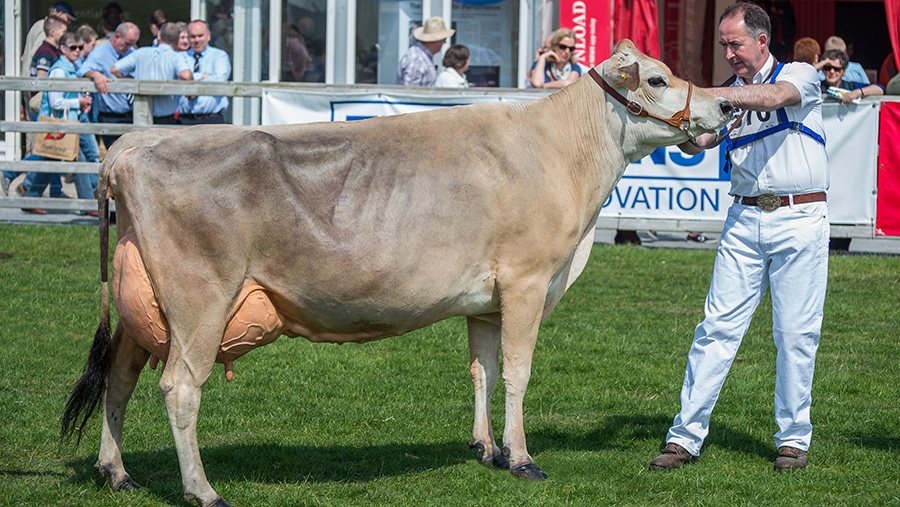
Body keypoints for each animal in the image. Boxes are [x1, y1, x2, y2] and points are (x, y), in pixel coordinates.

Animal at [65, 40, 732, 507]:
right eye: (656, 78)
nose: (726, 104)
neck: (561, 153)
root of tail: (130, 146)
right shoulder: (526, 281)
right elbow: (517, 373)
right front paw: (521, 458)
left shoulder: (488, 300)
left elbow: (482, 369)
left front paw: (486, 448)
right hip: (199, 297)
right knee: (179, 386)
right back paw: (202, 489)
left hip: (142, 303)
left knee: (120, 377)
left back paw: (116, 471)